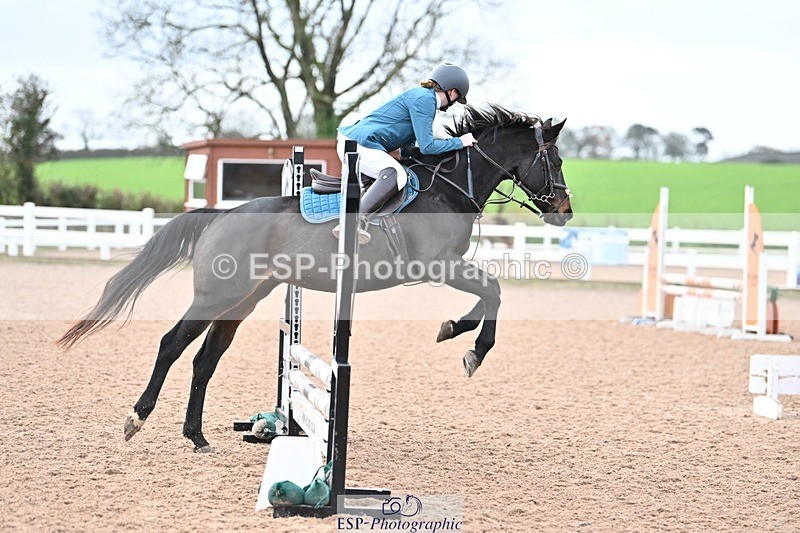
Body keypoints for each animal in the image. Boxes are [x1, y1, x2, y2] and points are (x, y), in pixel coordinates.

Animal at [57, 105, 573, 453]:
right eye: (557, 161)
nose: (564, 211)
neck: (449, 188)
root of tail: (219, 216)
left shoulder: (446, 266)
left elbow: (489, 294)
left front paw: (454, 331)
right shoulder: (438, 263)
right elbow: (493, 291)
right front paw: (471, 349)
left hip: (242, 301)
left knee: (205, 360)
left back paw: (197, 436)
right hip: (217, 296)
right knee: (172, 344)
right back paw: (136, 419)